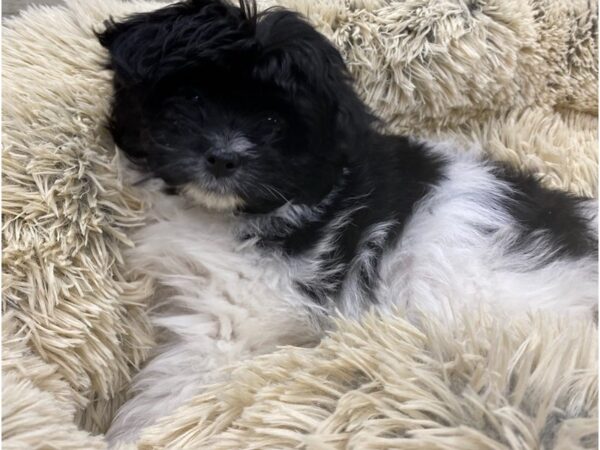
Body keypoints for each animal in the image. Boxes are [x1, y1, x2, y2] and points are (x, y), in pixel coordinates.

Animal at [97, 0, 596, 442]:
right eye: (193, 96)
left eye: (274, 121)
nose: (222, 157)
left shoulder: (238, 310)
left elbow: (181, 375)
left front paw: (138, 432)